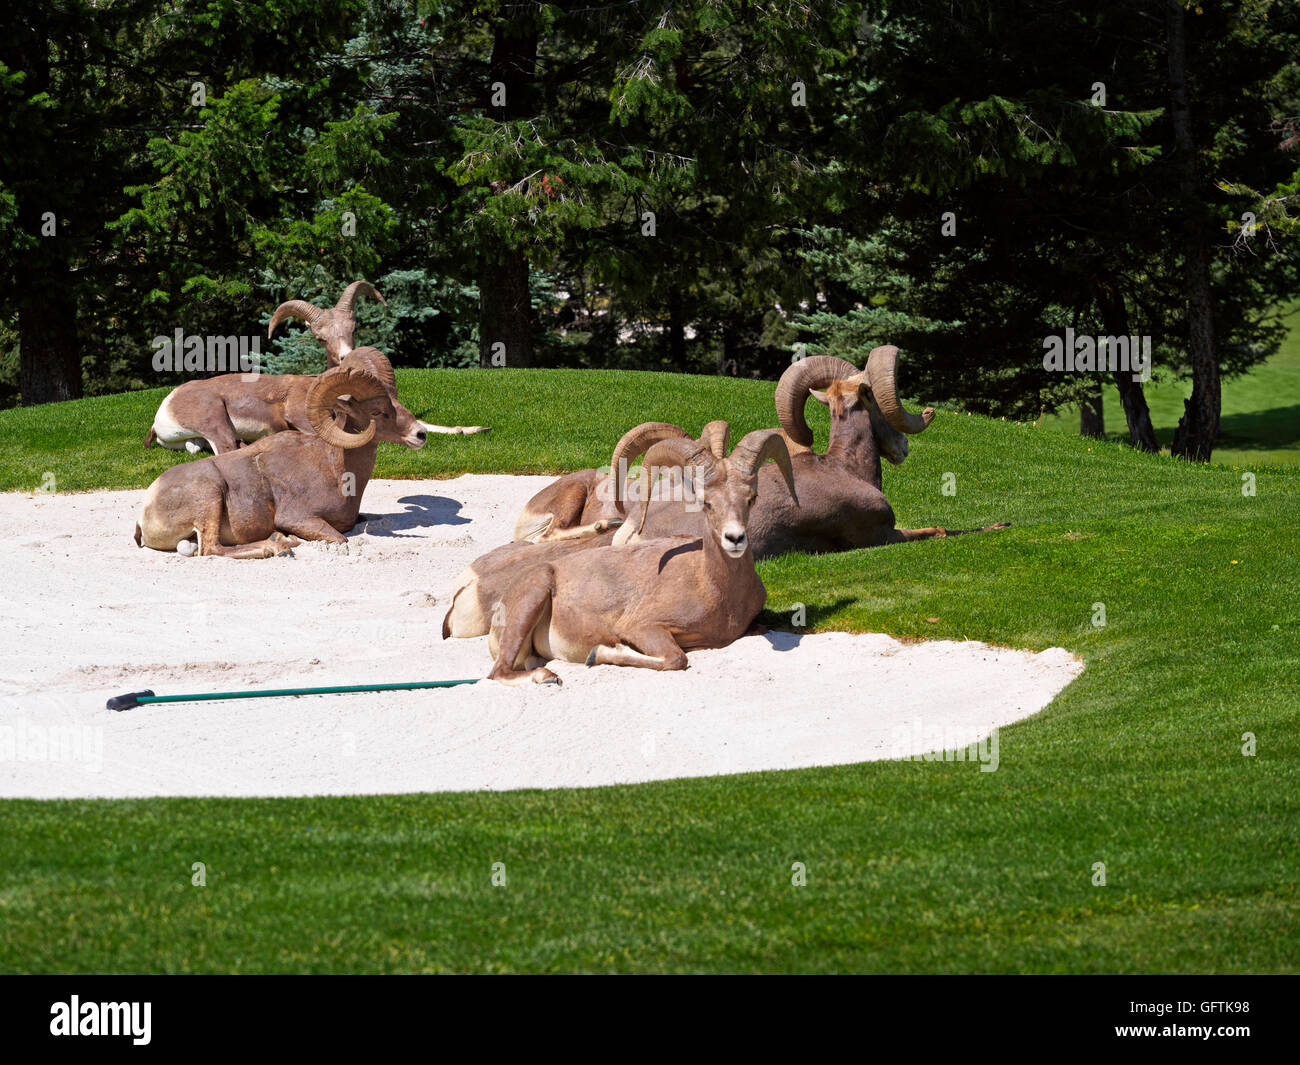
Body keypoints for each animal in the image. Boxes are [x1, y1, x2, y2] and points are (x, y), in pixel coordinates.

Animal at [133, 364, 424, 558]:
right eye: (377, 412)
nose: (420, 434)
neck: (336, 468)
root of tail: (146, 513)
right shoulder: (299, 517)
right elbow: (341, 539)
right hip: (210, 495)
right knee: (211, 548)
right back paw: (276, 544)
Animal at [449, 429, 797, 685]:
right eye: (707, 503)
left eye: (751, 498)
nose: (735, 539)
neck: (713, 586)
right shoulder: (643, 628)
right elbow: (676, 658)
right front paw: (599, 654)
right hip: (531, 601)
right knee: (498, 672)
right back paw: (546, 677)